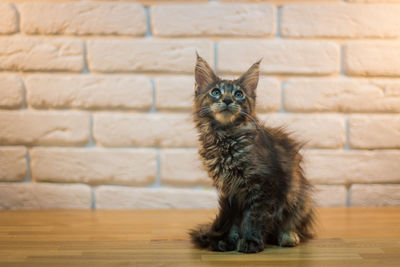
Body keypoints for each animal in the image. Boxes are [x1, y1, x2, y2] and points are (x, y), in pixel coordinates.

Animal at [190, 54, 316, 253]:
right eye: (215, 92)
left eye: (239, 94)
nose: (228, 100)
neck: (226, 137)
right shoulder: (230, 193)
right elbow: (234, 222)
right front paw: (230, 240)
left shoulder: (264, 186)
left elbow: (254, 217)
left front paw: (250, 240)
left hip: (299, 196)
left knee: (292, 223)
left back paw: (288, 236)